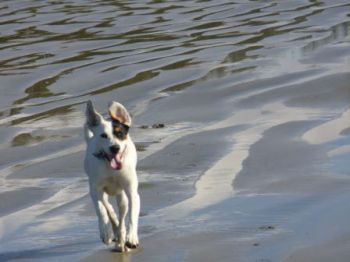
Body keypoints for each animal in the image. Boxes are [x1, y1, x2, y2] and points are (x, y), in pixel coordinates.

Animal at [83, 100, 139, 252]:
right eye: (103, 135)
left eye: (120, 133)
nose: (115, 148)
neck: (110, 168)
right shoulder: (95, 189)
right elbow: (101, 209)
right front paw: (105, 232)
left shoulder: (131, 191)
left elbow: (132, 213)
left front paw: (132, 237)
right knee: (108, 207)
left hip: (122, 196)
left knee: (122, 210)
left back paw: (122, 238)